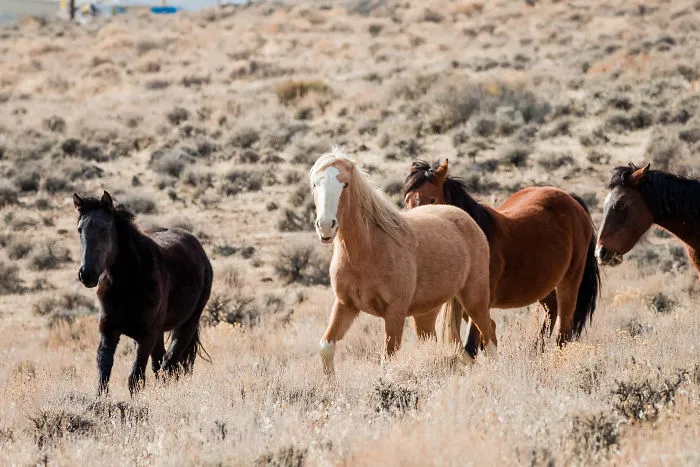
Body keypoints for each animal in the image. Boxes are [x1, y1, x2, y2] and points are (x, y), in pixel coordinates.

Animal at [73, 191, 213, 395]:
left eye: (104, 229)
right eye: (79, 230)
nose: (86, 274)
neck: (129, 283)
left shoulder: (145, 336)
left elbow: (135, 378)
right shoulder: (108, 331)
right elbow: (103, 372)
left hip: (187, 323)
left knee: (170, 363)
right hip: (160, 332)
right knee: (161, 364)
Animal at [310, 148, 495, 375]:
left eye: (345, 184)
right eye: (315, 184)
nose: (326, 226)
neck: (367, 250)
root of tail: (466, 218)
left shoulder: (394, 313)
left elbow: (388, 360)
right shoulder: (345, 305)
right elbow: (326, 348)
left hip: (474, 299)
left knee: (489, 335)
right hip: (426, 314)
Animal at [403, 159, 600, 355]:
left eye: (432, 200)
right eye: (407, 201)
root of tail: (571, 200)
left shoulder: (479, 303)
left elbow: (471, 347)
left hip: (569, 282)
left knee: (563, 332)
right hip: (544, 284)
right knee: (551, 312)